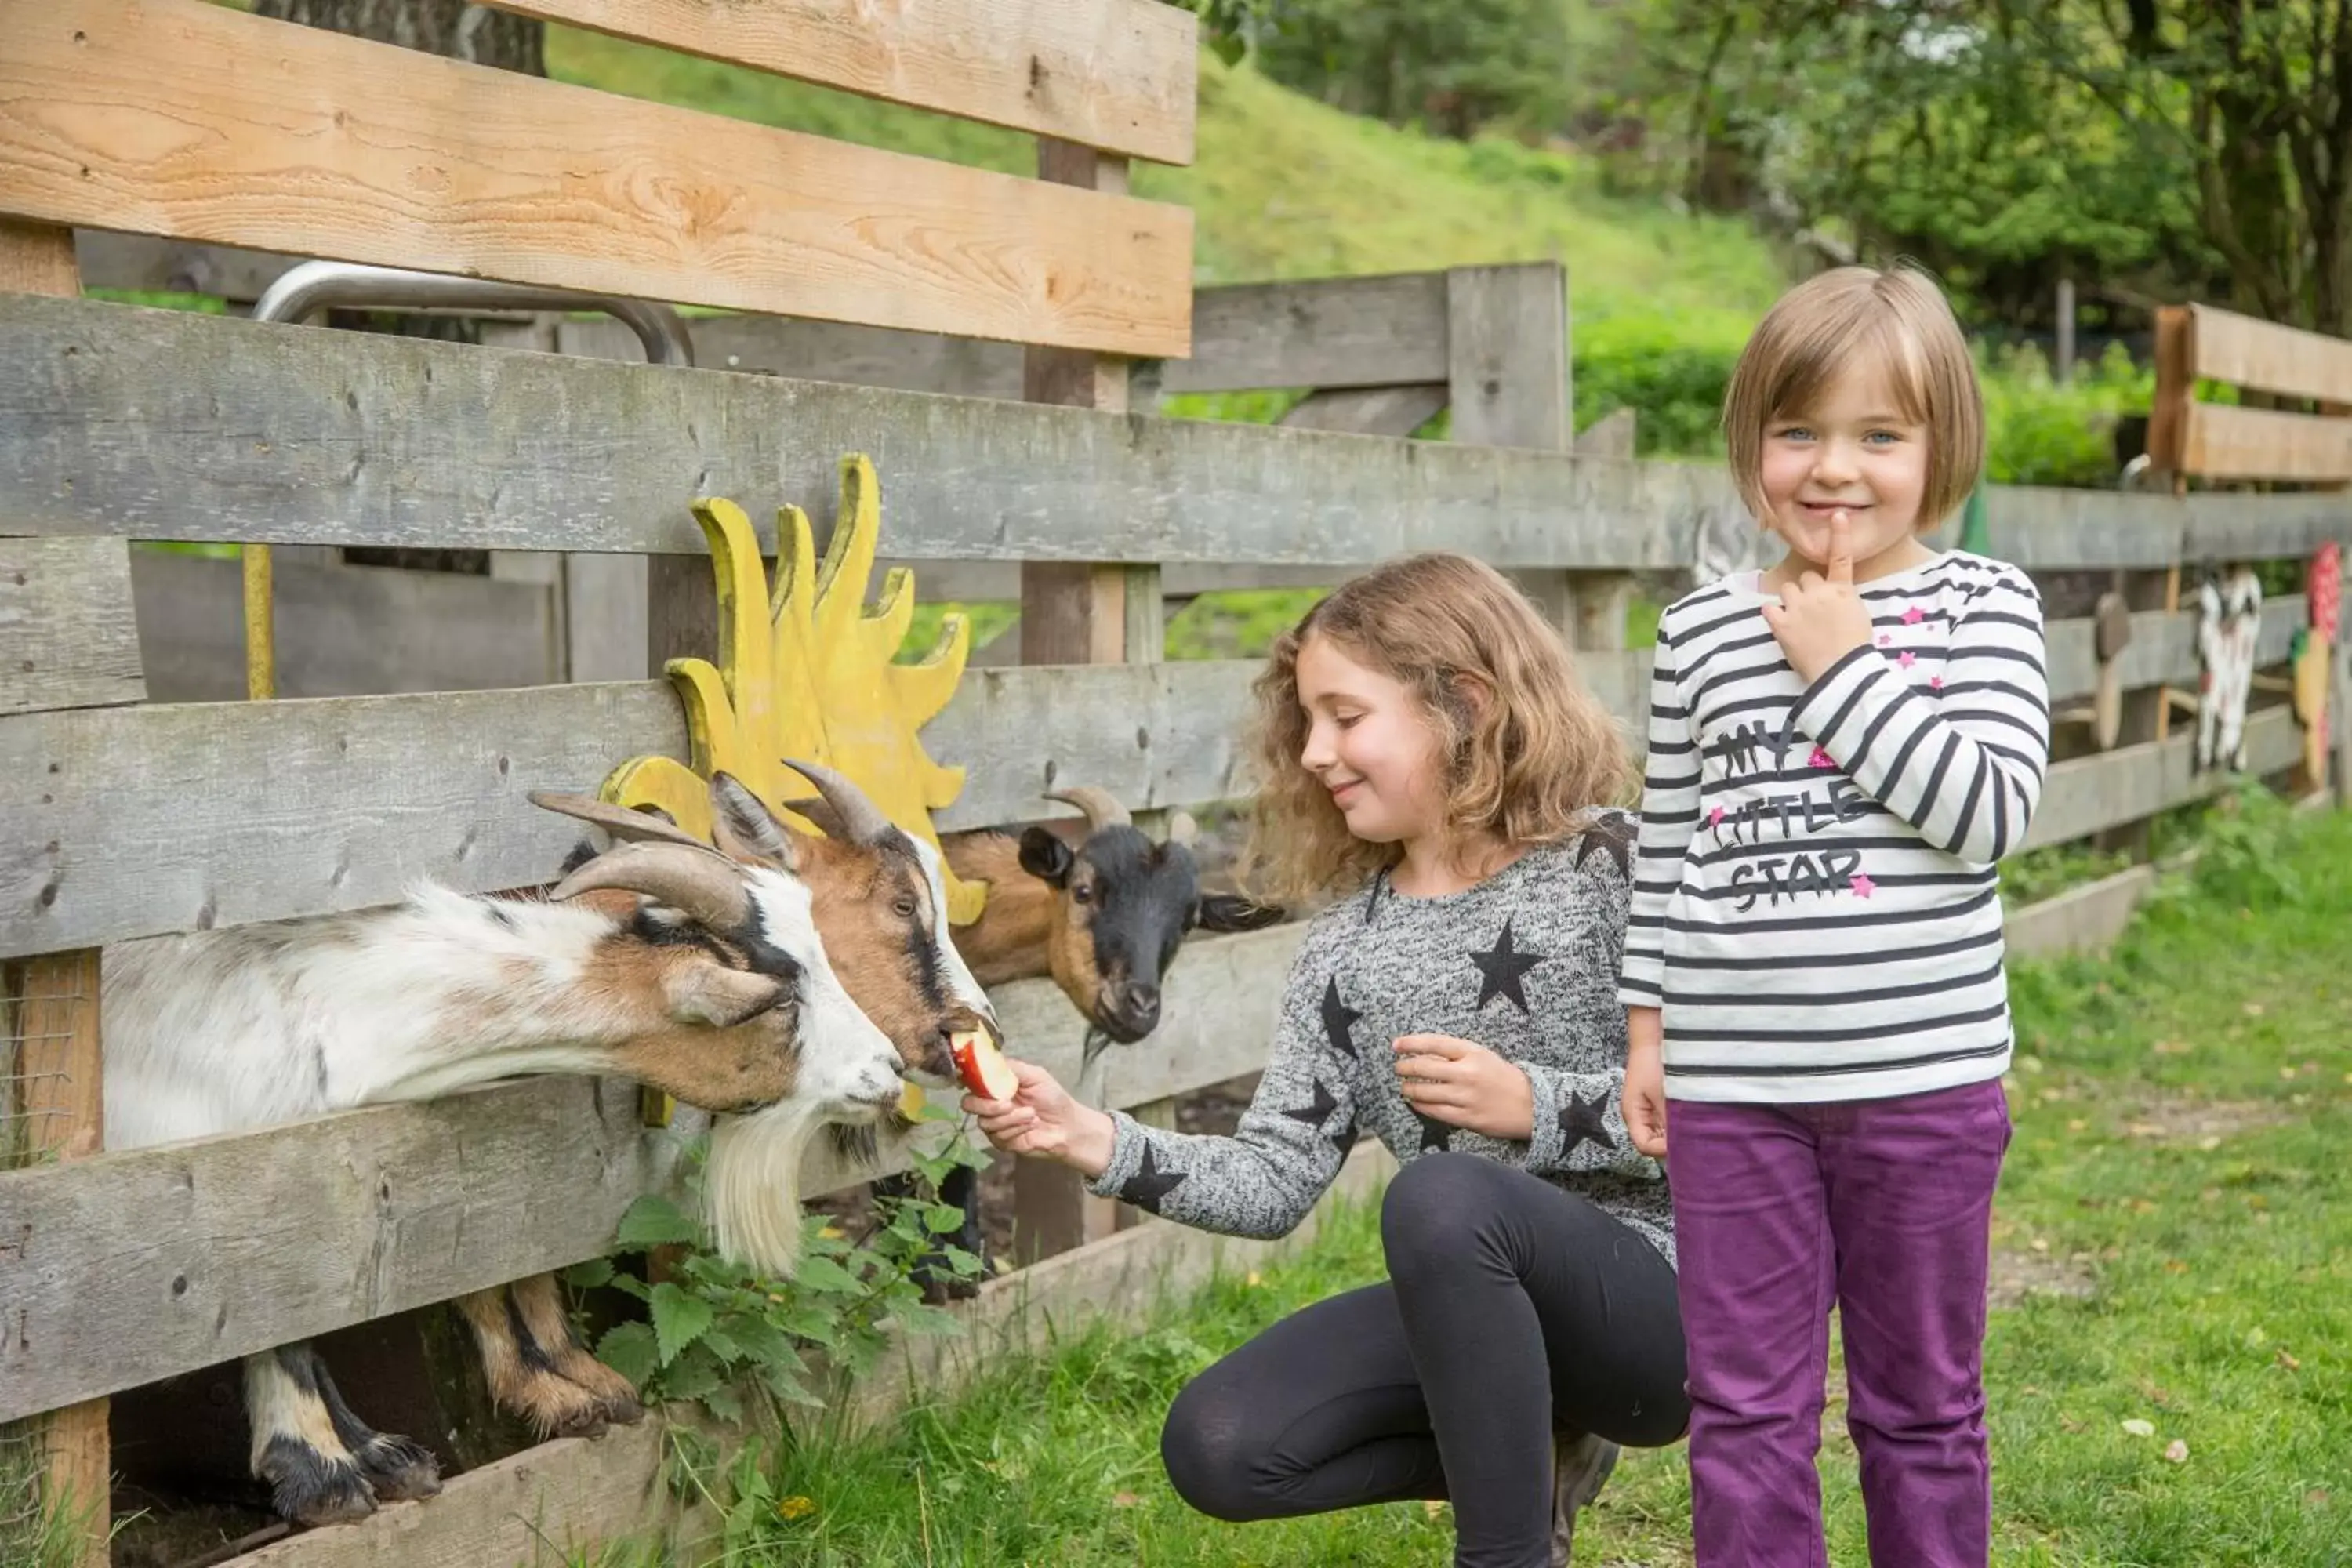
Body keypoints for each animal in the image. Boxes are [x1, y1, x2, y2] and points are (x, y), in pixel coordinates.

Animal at [103, 780, 908, 1523]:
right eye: (784, 998)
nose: (891, 1068)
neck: (329, 1008)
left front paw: (382, 1455)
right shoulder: (241, 1183)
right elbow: (281, 1327)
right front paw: (323, 1475)